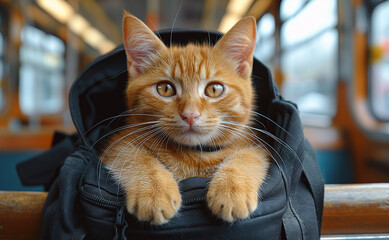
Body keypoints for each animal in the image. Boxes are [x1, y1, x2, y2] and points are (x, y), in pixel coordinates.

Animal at [100, 11, 268, 225]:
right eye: (165, 89)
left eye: (214, 89)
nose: (190, 114)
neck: (193, 156)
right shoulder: (117, 143)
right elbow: (133, 156)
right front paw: (155, 191)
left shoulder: (259, 146)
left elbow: (249, 156)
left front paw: (231, 189)